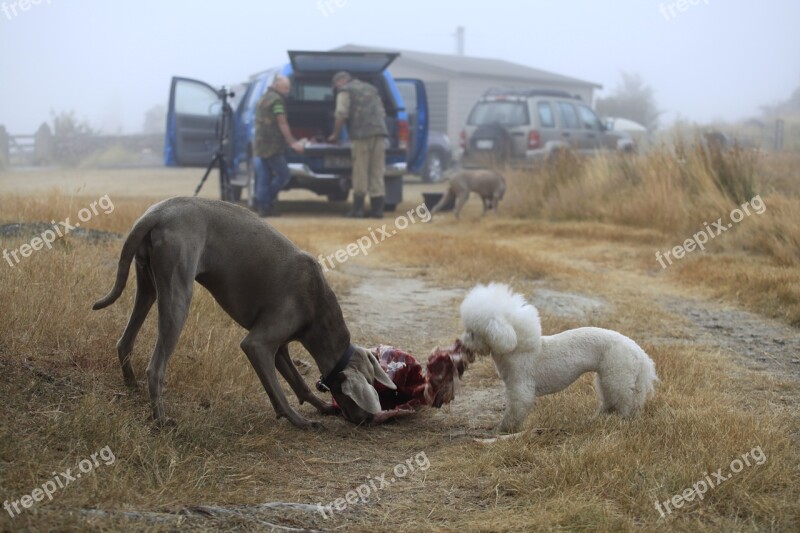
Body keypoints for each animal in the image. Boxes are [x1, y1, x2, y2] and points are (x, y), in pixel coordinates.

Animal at [95, 198, 396, 428]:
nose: (368, 420)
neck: (318, 305)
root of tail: (157, 212)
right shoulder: (257, 344)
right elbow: (278, 389)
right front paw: (299, 421)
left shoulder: (280, 347)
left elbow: (297, 382)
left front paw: (321, 406)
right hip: (177, 291)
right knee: (156, 367)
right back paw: (161, 419)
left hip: (147, 282)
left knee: (125, 341)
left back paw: (131, 386)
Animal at [460, 282, 660, 432]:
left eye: (472, 333)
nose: (461, 343)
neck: (516, 346)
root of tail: (638, 353)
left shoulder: (520, 387)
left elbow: (516, 409)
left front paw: (504, 429)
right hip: (607, 377)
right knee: (612, 401)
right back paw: (599, 419)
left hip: (618, 374)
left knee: (624, 402)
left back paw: (622, 422)